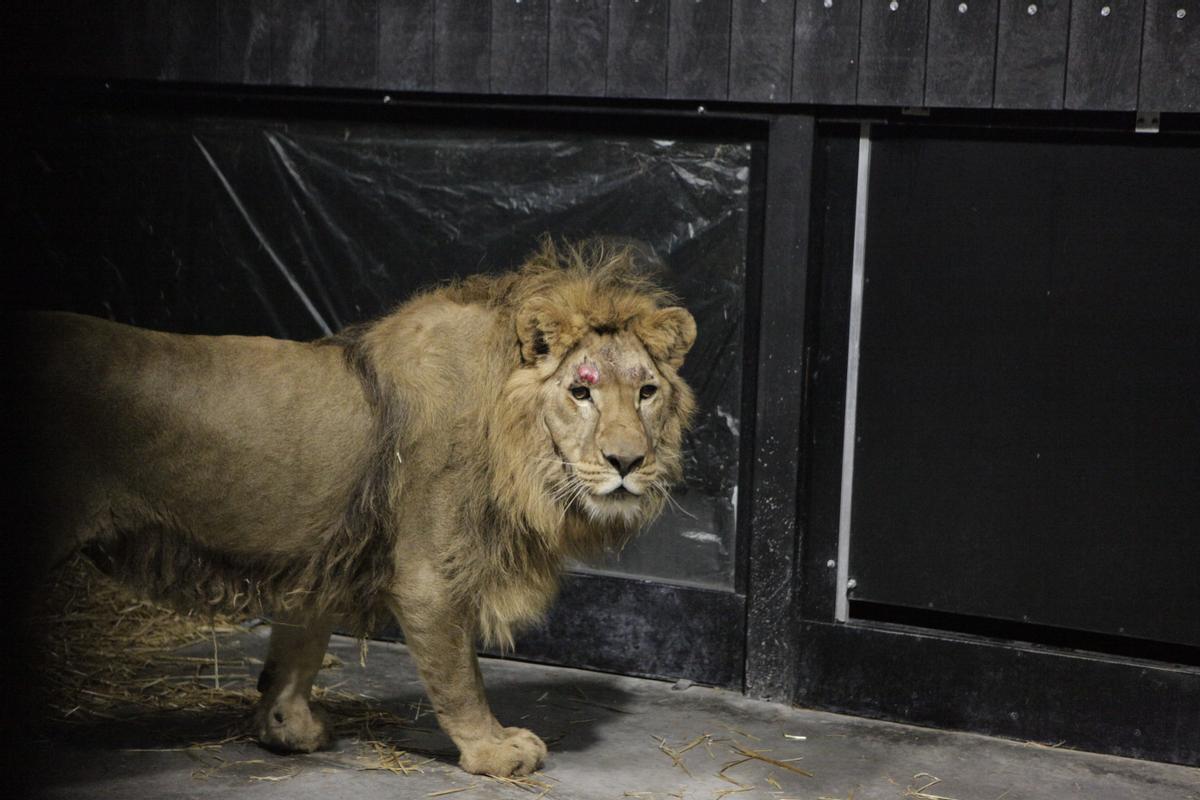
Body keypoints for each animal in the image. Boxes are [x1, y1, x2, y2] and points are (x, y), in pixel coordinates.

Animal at [14, 238, 697, 777]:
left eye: (647, 392)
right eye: (581, 391)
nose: (627, 461)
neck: (518, 441)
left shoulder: (319, 553)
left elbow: (299, 647)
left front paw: (287, 728)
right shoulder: (427, 575)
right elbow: (459, 674)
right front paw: (494, 750)